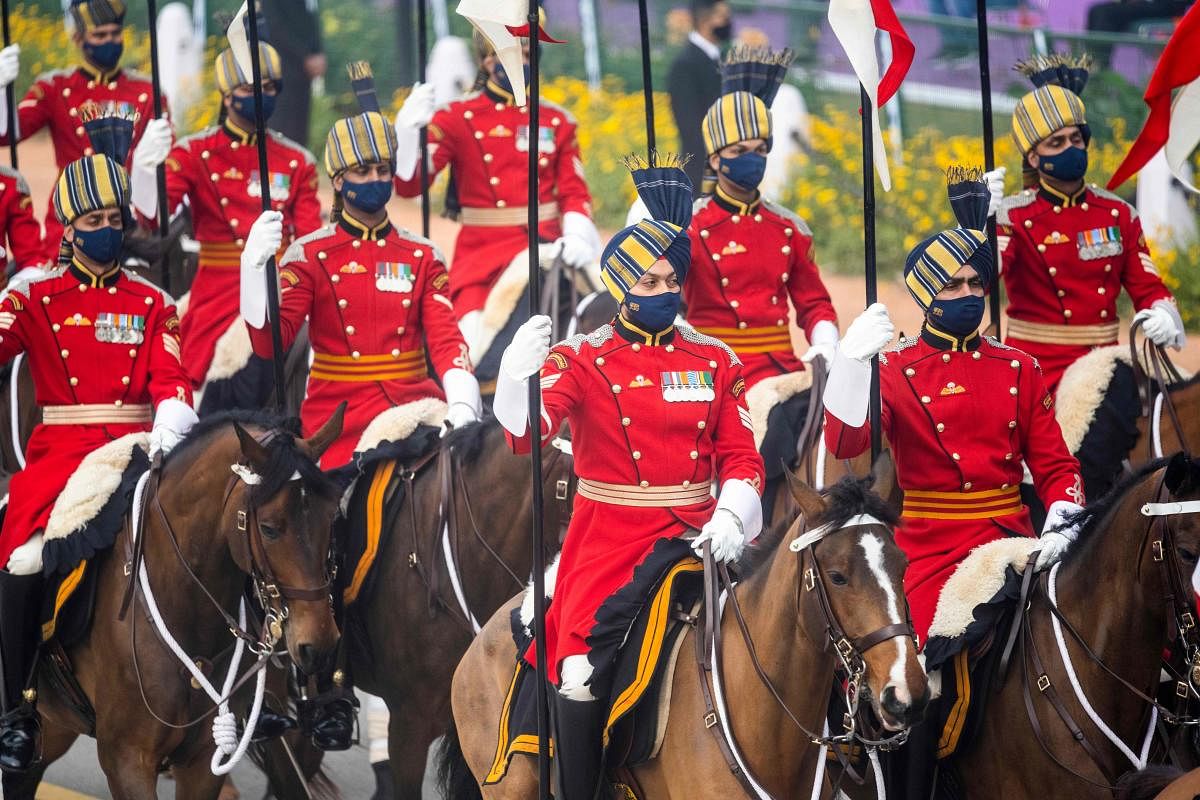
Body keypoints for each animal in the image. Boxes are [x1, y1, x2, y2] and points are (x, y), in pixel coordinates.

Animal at [4, 410, 350, 796]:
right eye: (269, 528)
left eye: (333, 519)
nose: (319, 644)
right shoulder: (127, 760)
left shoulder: (201, 762)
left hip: (57, 725)